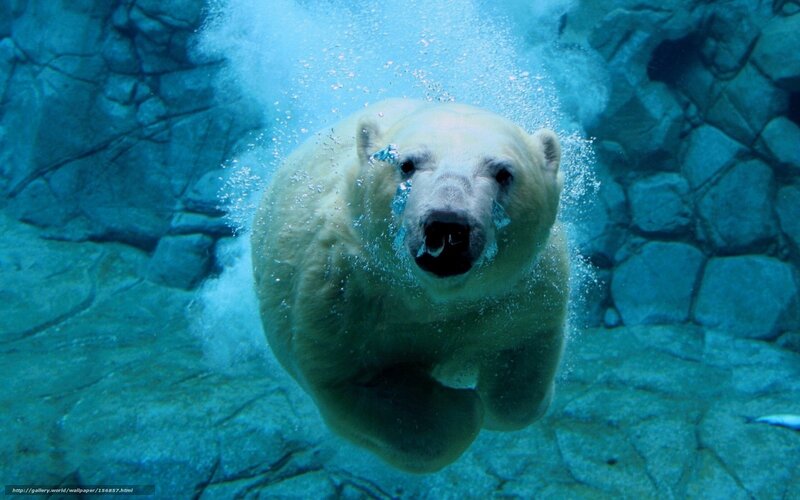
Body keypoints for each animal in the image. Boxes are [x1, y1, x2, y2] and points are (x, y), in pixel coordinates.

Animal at [251, 98, 568, 473]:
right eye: (406, 164)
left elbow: (523, 358)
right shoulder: (342, 294)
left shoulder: (522, 291)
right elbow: (355, 384)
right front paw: (462, 407)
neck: (432, 297)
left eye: (504, 173)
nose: (447, 225)